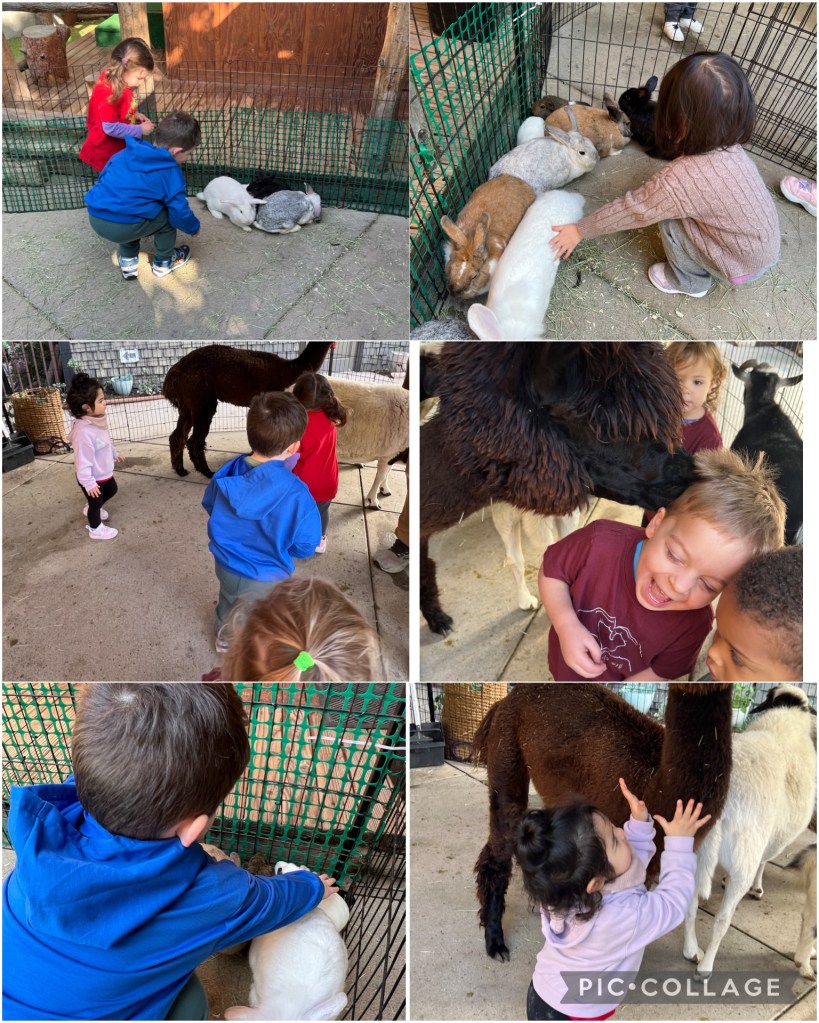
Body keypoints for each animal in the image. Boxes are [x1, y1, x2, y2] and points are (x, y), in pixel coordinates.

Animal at [163, 343, 333, 477]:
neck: (290, 369)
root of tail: (175, 371)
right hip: (201, 398)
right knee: (194, 440)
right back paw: (207, 473)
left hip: (187, 405)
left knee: (177, 436)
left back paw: (180, 470)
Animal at [326, 377, 408, 510]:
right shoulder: (389, 453)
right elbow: (381, 475)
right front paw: (373, 501)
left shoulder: (393, 453)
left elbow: (387, 472)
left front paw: (385, 489)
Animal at [682, 684, 816, 978]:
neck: (785, 716)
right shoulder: (771, 838)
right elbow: (765, 861)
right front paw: (758, 888)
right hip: (744, 854)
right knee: (723, 919)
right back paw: (706, 967)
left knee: (689, 904)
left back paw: (691, 951)